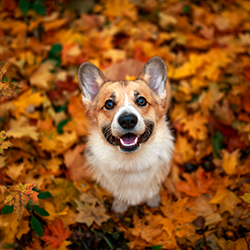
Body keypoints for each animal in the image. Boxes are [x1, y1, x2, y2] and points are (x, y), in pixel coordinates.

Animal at [77, 55, 174, 212]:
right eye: (109, 104)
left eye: (141, 101)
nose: (127, 120)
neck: (130, 162)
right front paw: (119, 205)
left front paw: (153, 201)